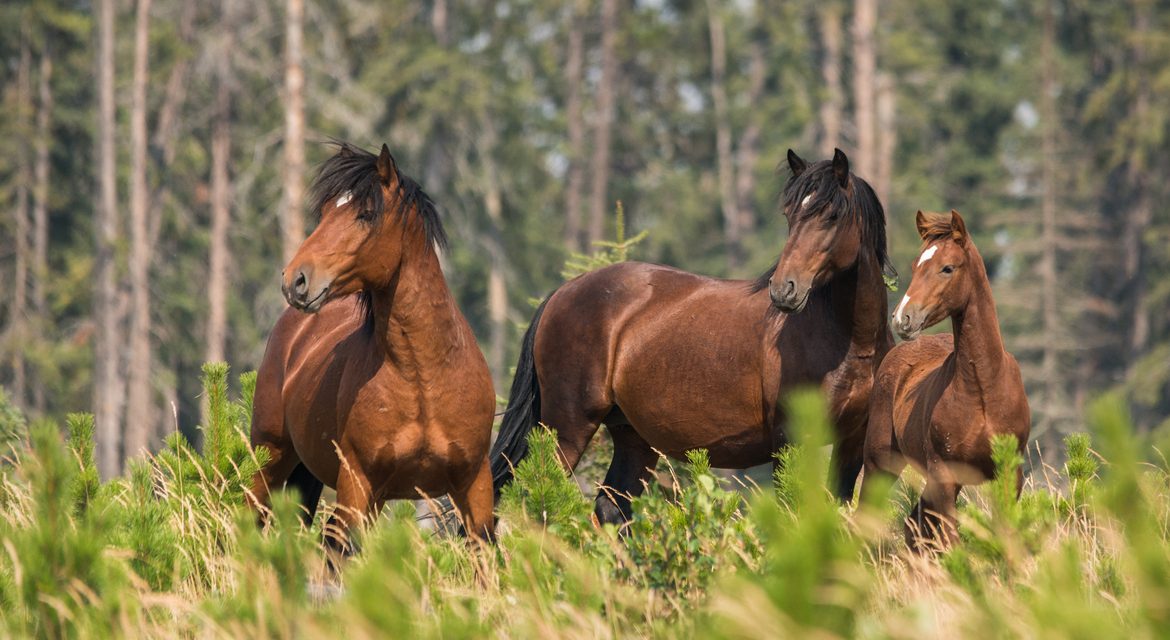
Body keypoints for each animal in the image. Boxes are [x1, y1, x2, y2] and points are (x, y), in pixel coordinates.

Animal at [248, 143, 496, 549]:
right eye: (324, 212)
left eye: (366, 214)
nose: (295, 280)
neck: (424, 379)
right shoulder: (357, 481)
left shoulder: (474, 485)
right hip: (269, 457)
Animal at [491, 149, 895, 524]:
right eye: (789, 214)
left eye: (833, 215)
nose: (784, 290)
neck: (849, 343)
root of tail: (562, 292)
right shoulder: (791, 442)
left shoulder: (851, 444)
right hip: (567, 427)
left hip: (633, 438)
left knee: (609, 507)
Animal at [861, 209, 1030, 549]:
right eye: (916, 265)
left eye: (947, 268)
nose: (903, 318)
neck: (984, 389)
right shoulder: (946, 475)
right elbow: (953, 541)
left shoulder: (1009, 473)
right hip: (879, 463)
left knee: (914, 524)